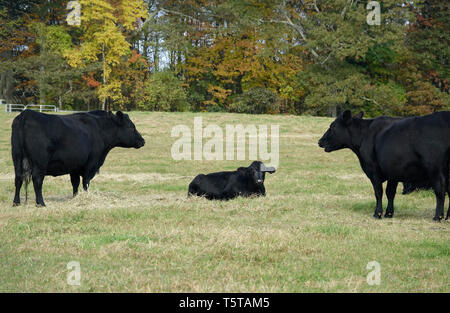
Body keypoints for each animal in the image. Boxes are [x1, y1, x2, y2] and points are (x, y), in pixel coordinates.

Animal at [11, 108, 144, 206]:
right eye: (131, 127)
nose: (143, 141)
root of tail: (26, 113)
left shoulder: (74, 166)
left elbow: (75, 183)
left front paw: (75, 197)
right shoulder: (91, 164)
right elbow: (86, 183)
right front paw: (86, 197)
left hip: (17, 157)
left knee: (18, 178)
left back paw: (16, 202)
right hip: (40, 162)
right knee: (37, 180)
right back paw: (41, 203)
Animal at [318, 111, 448, 221]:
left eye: (333, 126)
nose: (320, 141)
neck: (364, 136)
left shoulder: (374, 170)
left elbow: (378, 192)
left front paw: (378, 213)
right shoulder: (393, 172)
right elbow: (390, 193)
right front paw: (389, 213)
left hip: (434, 169)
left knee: (440, 190)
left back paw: (438, 216)